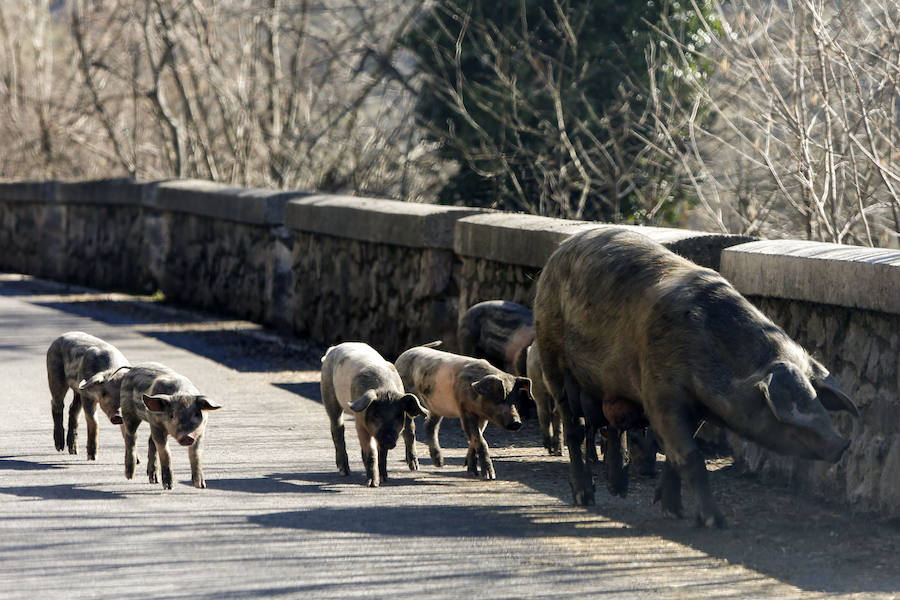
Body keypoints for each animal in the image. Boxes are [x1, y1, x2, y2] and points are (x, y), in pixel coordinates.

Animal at [46, 332, 131, 460]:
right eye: (104, 393)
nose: (118, 415)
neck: (112, 369)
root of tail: (59, 337)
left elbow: (126, 429)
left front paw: (137, 461)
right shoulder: (87, 396)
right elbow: (93, 421)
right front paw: (92, 457)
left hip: (78, 389)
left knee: (73, 408)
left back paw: (74, 451)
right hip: (54, 373)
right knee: (57, 404)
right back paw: (60, 447)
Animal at [320, 342, 428, 488]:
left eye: (398, 416)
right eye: (376, 415)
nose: (388, 440)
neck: (385, 390)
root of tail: (334, 348)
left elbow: (382, 453)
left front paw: (384, 478)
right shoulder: (360, 422)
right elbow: (371, 451)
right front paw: (373, 484)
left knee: (409, 431)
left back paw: (415, 467)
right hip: (328, 391)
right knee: (337, 428)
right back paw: (344, 471)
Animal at [398, 344, 532, 480]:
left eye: (515, 400)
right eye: (500, 399)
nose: (516, 423)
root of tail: (404, 354)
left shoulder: (482, 417)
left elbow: (475, 438)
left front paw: (472, 472)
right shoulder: (464, 410)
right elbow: (480, 440)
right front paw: (490, 476)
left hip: (436, 405)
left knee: (429, 425)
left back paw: (440, 463)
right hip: (409, 398)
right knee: (409, 429)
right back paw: (415, 467)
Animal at [536, 227, 856, 528]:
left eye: (817, 400)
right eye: (792, 406)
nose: (843, 443)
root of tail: (558, 251)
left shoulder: (697, 408)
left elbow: (673, 458)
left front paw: (673, 511)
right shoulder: (660, 393)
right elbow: (689, 457)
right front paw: (715, 522)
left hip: (608, 385)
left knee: (612, 428)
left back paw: (619, 490)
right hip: (551, 353)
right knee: (573, 427)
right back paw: (585, 496)